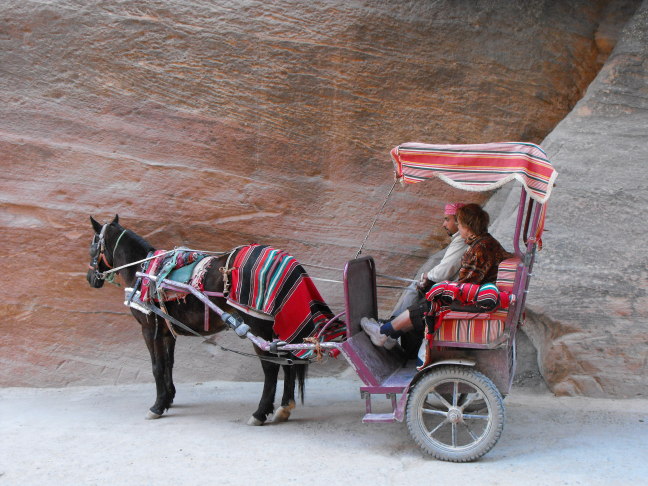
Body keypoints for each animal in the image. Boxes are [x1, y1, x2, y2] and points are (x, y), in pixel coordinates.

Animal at [86, 215, 306, 424]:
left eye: (92, 248)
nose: (90, 278)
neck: (143, 269)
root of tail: (283, 260)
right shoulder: (167, 331)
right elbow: (169, 363)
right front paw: (168, 398)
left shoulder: (149, 329)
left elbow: (157, 366)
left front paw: (157, 406)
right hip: (277, 327)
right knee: (287, 361)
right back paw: (285, 407)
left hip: (258, 326)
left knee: (271, 367)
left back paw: (260, 413)